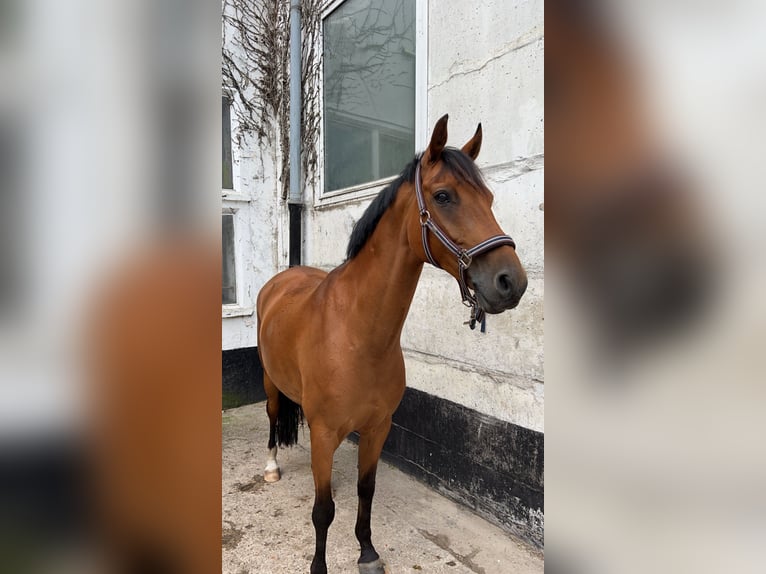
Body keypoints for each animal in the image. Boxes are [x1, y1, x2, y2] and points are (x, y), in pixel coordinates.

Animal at [258, 116, 528, 574]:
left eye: (490, 198)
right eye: (443, 196)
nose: (512, 282)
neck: (358, 337)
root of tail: (281, 280)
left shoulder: (377, 428)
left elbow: (366, 492)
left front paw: (367, 552)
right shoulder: (325, 431)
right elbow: (322, 510)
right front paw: (319, 566)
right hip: (270, 382)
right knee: (274, 417)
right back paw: (272, 466)